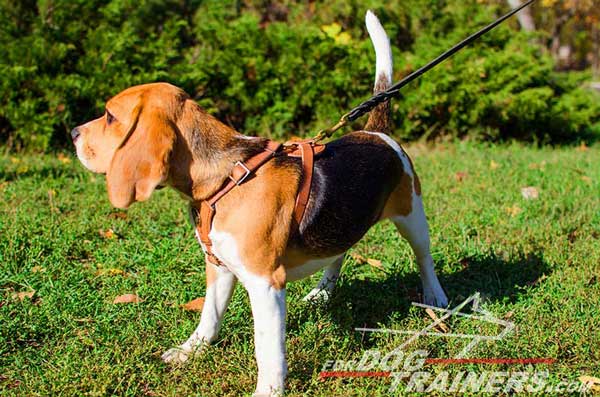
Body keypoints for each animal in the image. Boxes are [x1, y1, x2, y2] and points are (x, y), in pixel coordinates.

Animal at [71, 10, 446, 394]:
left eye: (110, 117)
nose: (73, 134)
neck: (226, 177)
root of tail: (376, 132)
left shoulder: (265, 283)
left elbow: (267, 347)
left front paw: (269, 388)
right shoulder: (219, 266)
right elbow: (209, 316)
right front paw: (191, 351)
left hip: (412, 215)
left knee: (424, 258)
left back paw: (435, 298)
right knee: (339, 252)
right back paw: (322, 292)